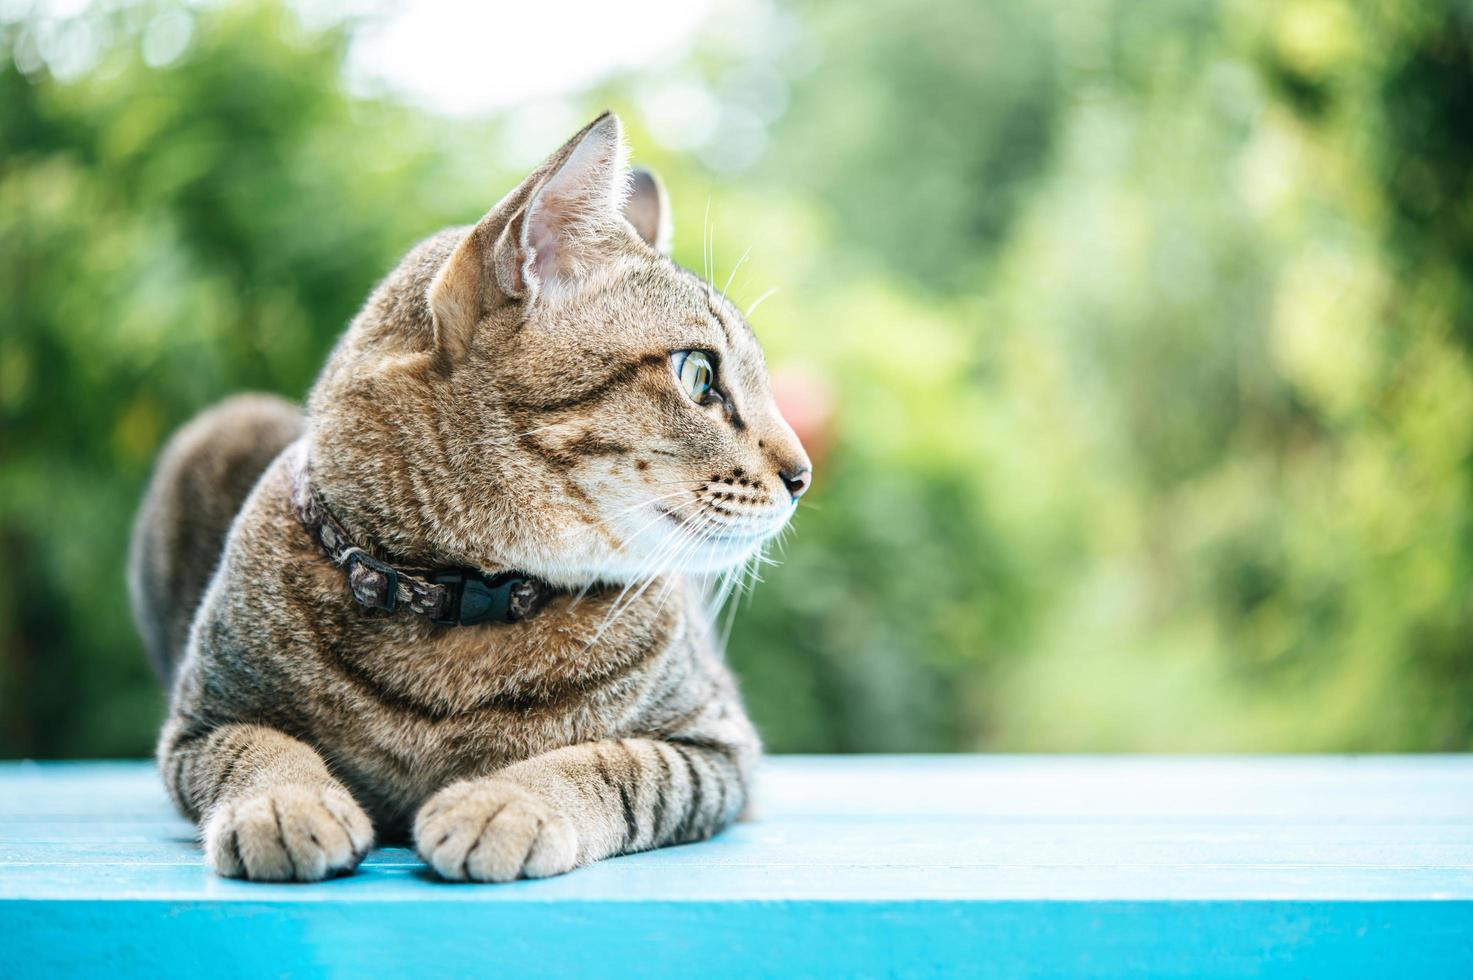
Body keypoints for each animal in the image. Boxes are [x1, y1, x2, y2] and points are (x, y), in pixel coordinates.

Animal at [126, 112, 813, 878]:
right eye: (698, 375)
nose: (802, 474)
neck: (460, 598)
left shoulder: (715, 747)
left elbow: (611, 765)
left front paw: (502, 804)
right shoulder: (199, 724)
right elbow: (257, 748)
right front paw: (285, 804)